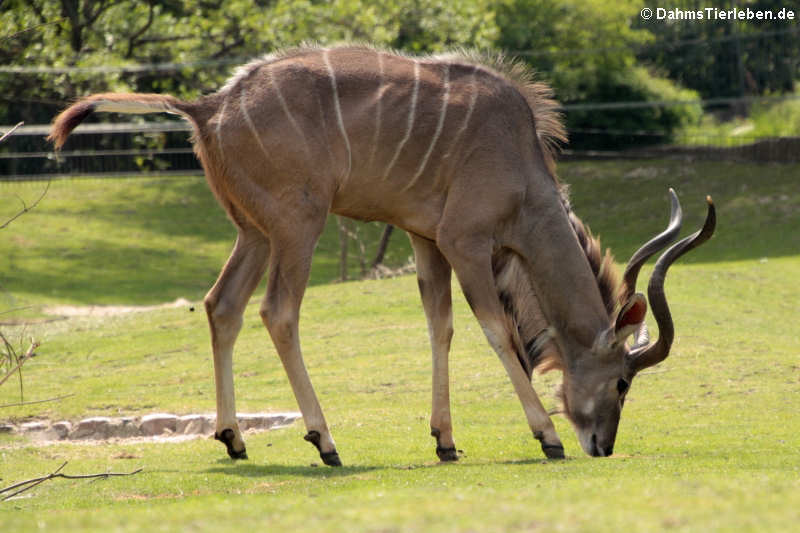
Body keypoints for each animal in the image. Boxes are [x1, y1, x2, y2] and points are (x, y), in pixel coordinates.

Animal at [50, 45, 716, 464]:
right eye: (623, 381)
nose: (602, 444)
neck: (521, 165)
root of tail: (209, 106)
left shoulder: (425, 240)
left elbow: (440, 326)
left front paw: (445, 441)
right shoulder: (465, 241)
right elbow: (496, 331)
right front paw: (546, 436)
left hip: (255, 232)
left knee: (222, 306)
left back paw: (234, 439)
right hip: (299, 225)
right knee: (276, 312)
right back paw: (325, 443)